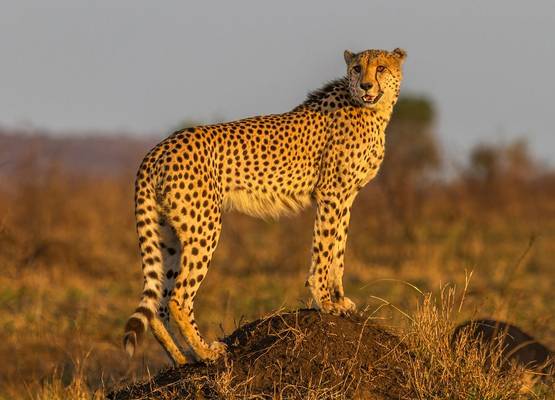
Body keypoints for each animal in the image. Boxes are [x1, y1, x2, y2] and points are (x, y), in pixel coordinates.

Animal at [124, 47, 406, 362]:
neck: (374, 110)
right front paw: (324, 301)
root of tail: (159, 148)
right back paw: (206, 351)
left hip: (168, 233)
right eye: (357, 68)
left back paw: (183, 357)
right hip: (204, 227)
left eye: (380, 68)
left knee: (158, 304)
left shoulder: (347, 197)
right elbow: (324, 250)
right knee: (178, 298)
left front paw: (340, 300)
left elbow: (339, 252)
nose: (366, 85)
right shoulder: (331, 194)